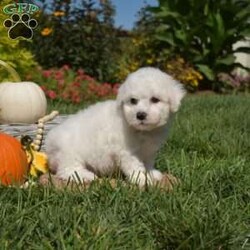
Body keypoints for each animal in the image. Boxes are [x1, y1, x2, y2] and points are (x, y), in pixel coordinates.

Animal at [45, 67, 186, 187]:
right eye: (133, 100)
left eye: (155, 99)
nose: (140, 115)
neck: (142, 131)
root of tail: (49, 144)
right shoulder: (127, 151)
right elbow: (135, 166)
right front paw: (142, 179)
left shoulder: (149, 150)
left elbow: (148, 162)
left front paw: (151, 173)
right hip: (69, 153)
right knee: (67, 169)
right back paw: (86, 176)